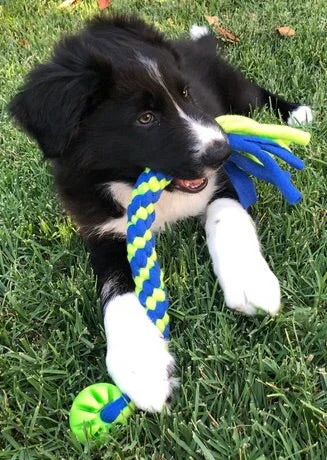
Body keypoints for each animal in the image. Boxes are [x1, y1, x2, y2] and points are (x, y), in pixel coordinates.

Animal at [9, 15, 314, 414]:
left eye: (186, 95)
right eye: (145, 118)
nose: (223, 150)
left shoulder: (220, 183)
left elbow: (227, 220)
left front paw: (251, 281)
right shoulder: (98, 227)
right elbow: (116, 289)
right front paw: (142, 365)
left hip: (234, 86)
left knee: (256, 93)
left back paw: (297, 112)